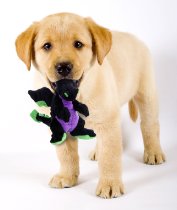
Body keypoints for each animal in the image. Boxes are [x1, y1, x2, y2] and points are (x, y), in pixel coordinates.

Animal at [15, 12, 166, 199]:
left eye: (78, 44)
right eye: (47, 46)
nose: (63, 67)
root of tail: (134, 38)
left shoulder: (108, 121)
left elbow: (110, 157)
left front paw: (110, 184)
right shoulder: (59, 126)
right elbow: (66, 154)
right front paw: (67, 176)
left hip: (146, 94)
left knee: (149, 125)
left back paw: (154, 152)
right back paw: (97, 152)